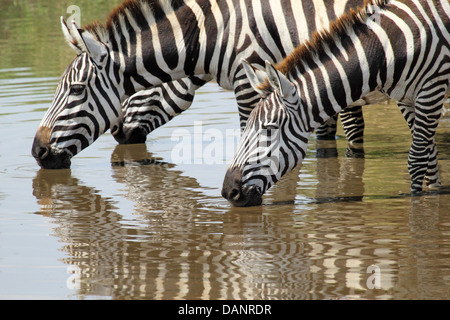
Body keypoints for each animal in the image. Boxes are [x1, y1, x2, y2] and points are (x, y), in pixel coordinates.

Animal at [222, 0, 450, 206]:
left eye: (269, 129)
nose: (228, 192)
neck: (388, 49)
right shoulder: (406, 98)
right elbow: (431, 156)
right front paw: (433, 193)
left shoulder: (432, 87)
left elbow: (417, 159)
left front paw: (418, 204)